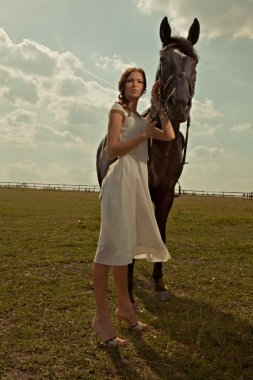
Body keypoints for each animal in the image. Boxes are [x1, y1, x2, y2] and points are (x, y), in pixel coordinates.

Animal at [96, 17, 200, 302]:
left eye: (194, 62)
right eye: (163, 60)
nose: (179, 105)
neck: (161, 148)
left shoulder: (165, 195)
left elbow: (160, 231)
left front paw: (159, 283)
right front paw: (128, 289)